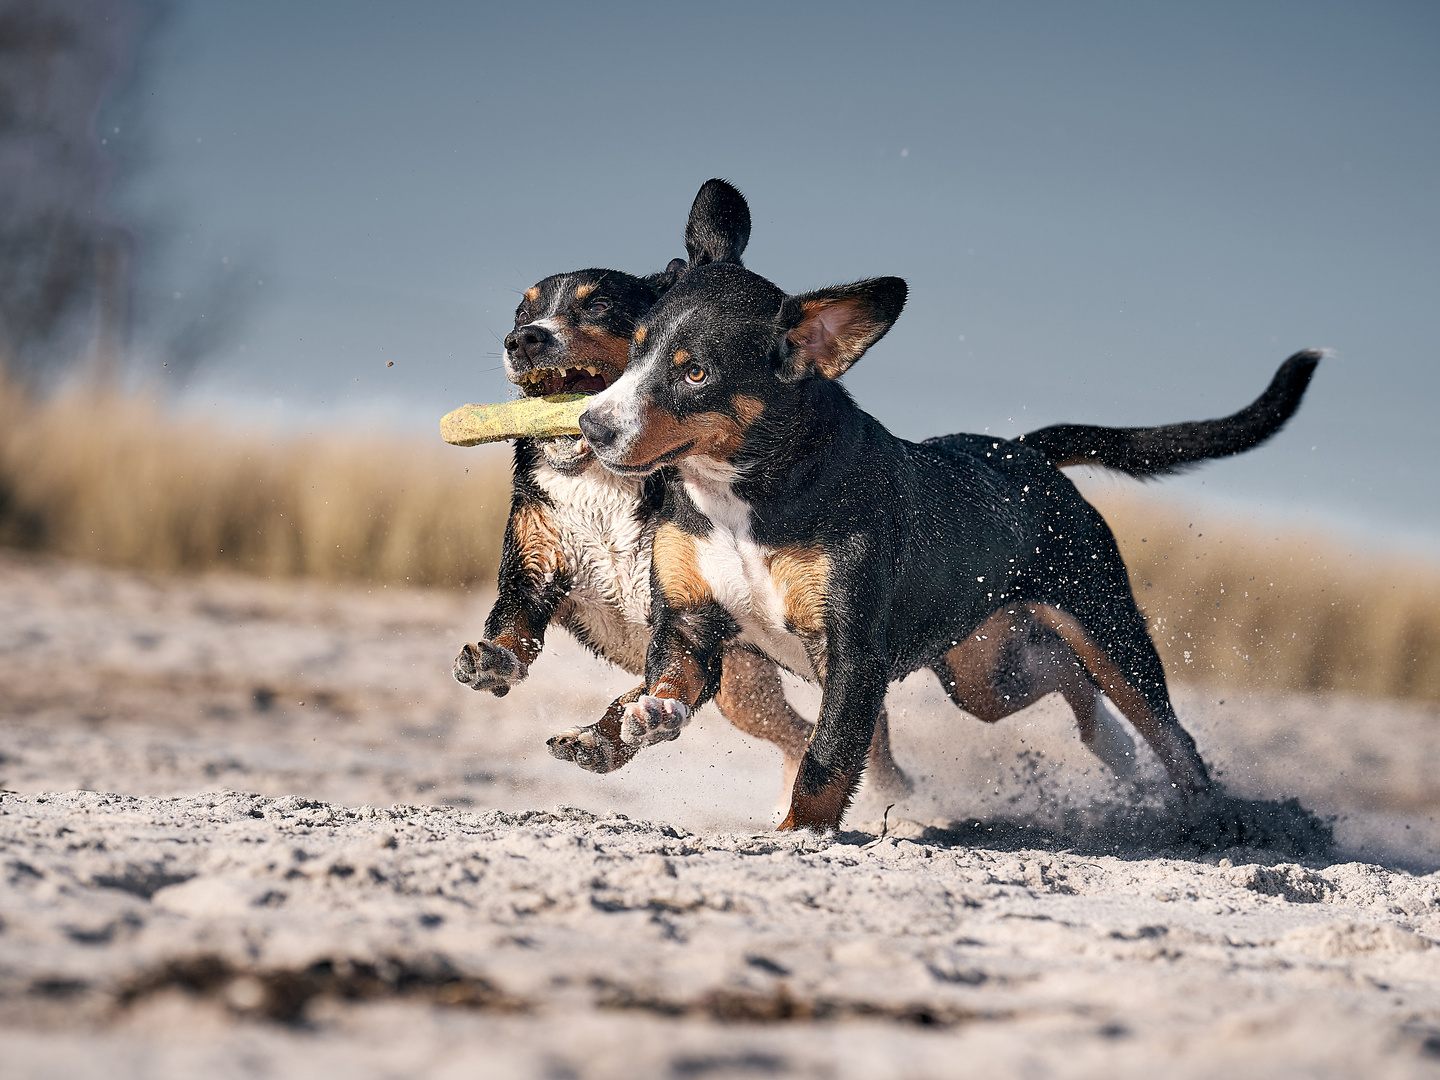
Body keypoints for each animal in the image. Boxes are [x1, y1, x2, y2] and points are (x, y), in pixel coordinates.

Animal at [573, 234, 1319, 829]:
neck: (745, 499)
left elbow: (825, 760)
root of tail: (1023, 453)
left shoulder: (854, 653)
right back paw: (1117, 748)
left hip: (1104, 625)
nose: (591, 426)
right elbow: (666, 685)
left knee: (1169, 732)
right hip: (982, 674)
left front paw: (798, 837)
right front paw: (630, 724)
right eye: (636, 351)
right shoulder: (689, 621)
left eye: (695, 373)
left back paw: (1211, 818)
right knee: (1062, 674)